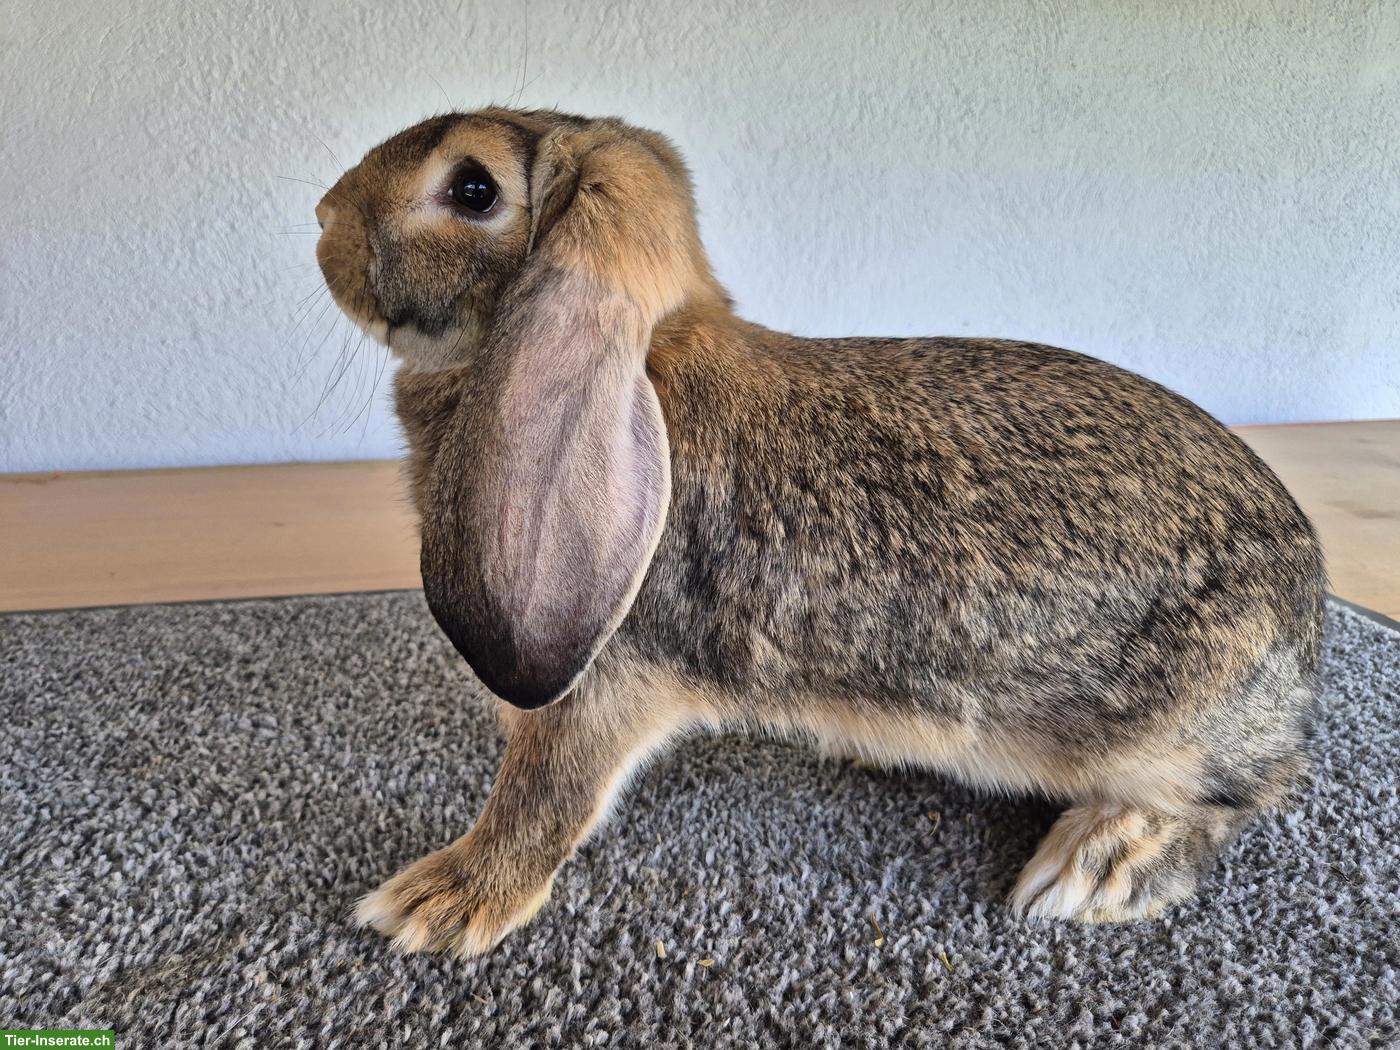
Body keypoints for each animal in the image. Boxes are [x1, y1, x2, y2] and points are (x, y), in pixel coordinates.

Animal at [313, 108, 1325, 956]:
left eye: (472, 188)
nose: (323, 220)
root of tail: (1306, 625)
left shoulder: (606, 682)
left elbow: (545, 796)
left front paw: (438, 905)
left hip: (1158, 736)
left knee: (1242, 794)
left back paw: (1093, 868)